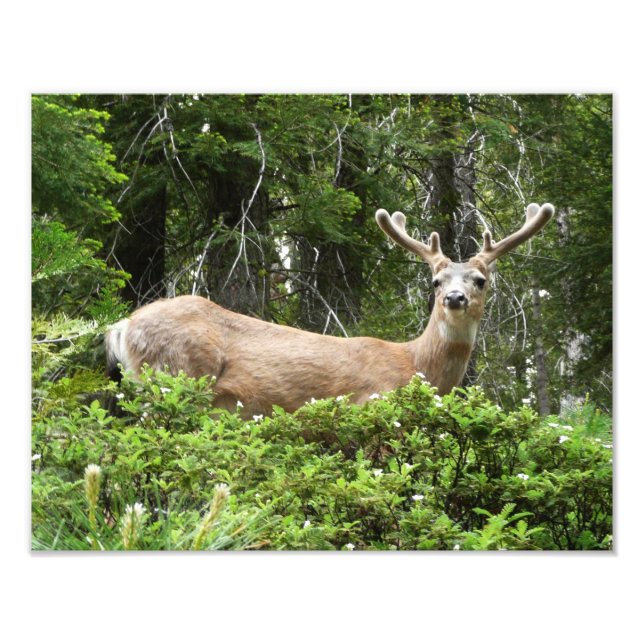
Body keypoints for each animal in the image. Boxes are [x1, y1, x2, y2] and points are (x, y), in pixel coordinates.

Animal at [106, 202, 554, 418]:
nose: (455, 298)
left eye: (480, 280)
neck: (415, 365)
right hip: (173, 374)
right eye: (436, 281)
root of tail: (123, 326)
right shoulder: (371, 404)